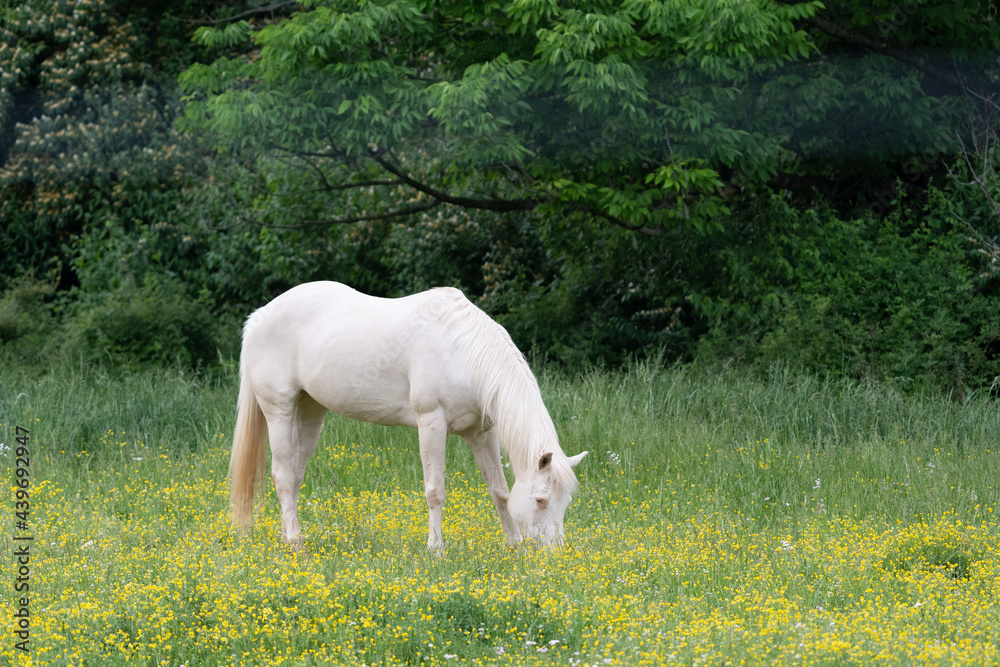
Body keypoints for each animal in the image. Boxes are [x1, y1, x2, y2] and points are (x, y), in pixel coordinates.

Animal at [228, 281, 587, 552]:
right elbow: (435, 490)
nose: (556, 554)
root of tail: (258, 318)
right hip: (278, 409)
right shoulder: (431, 424)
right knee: (282, 475)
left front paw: (513, 545)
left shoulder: (481, 433)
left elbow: (499, 491)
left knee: (294, 476)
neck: (462, 351)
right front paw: (436, 549)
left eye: (566, 502)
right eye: (540, 500)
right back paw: (295, 542)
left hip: (310, 411)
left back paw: (287, 537)